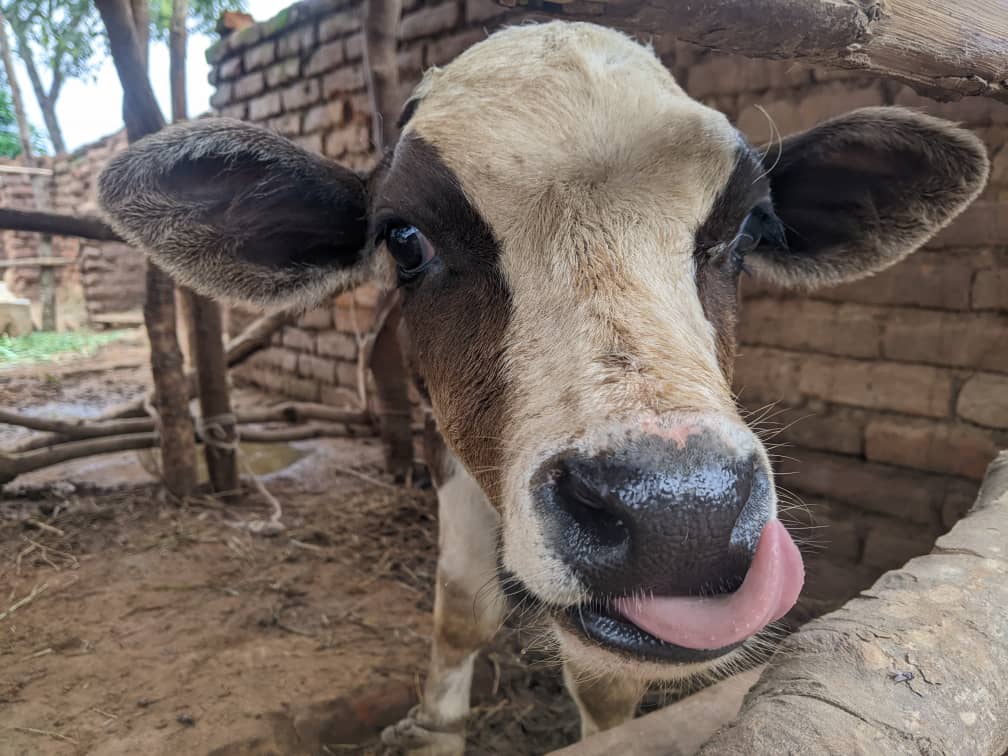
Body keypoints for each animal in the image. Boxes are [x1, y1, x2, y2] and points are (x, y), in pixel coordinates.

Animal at [100, 20, 983, 753]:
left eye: (744, 231)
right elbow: (462, 610)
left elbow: (604, 683)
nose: (682, 517)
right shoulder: (450, 437)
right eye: (406, 239)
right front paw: (436, 729)